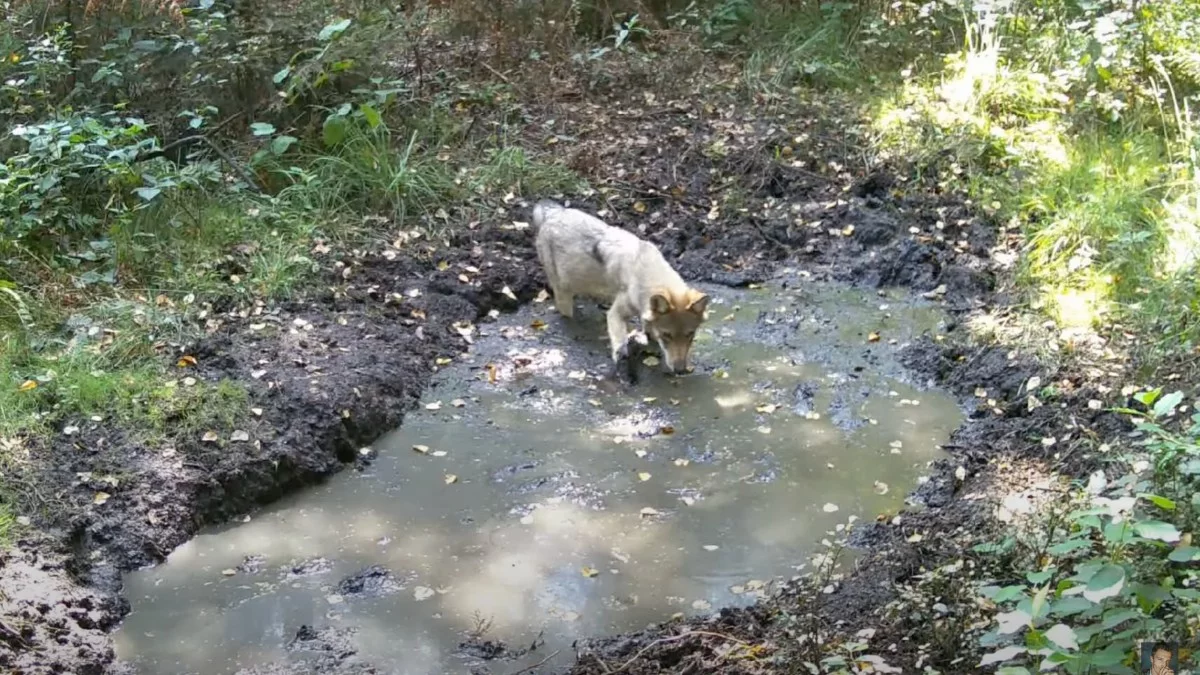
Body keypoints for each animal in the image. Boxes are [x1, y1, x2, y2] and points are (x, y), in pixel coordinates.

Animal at [530, 199, 705, 372]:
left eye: (690, 335)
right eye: (667, 335)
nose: (680, 370)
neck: (645, 273)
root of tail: (554, 213)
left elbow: (648, 329)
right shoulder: (616, 313)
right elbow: (620, 339)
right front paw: (621, 355)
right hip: (564, 292)